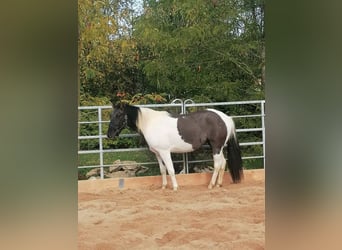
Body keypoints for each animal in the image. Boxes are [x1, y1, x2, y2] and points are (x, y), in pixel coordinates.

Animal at [107, 102, 243, 190]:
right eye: (111, 115)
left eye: (118, 115)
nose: (109, 134)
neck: (151, 123)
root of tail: (225, 118)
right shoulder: (158, 153)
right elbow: (163, 170)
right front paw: (163, 186)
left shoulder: (165, 152)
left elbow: (171, 169)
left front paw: (175, 187)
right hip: (218, 148)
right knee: (223, 163)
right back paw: (218, 184)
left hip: (216, 147)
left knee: (217, 165)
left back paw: (211, 185)